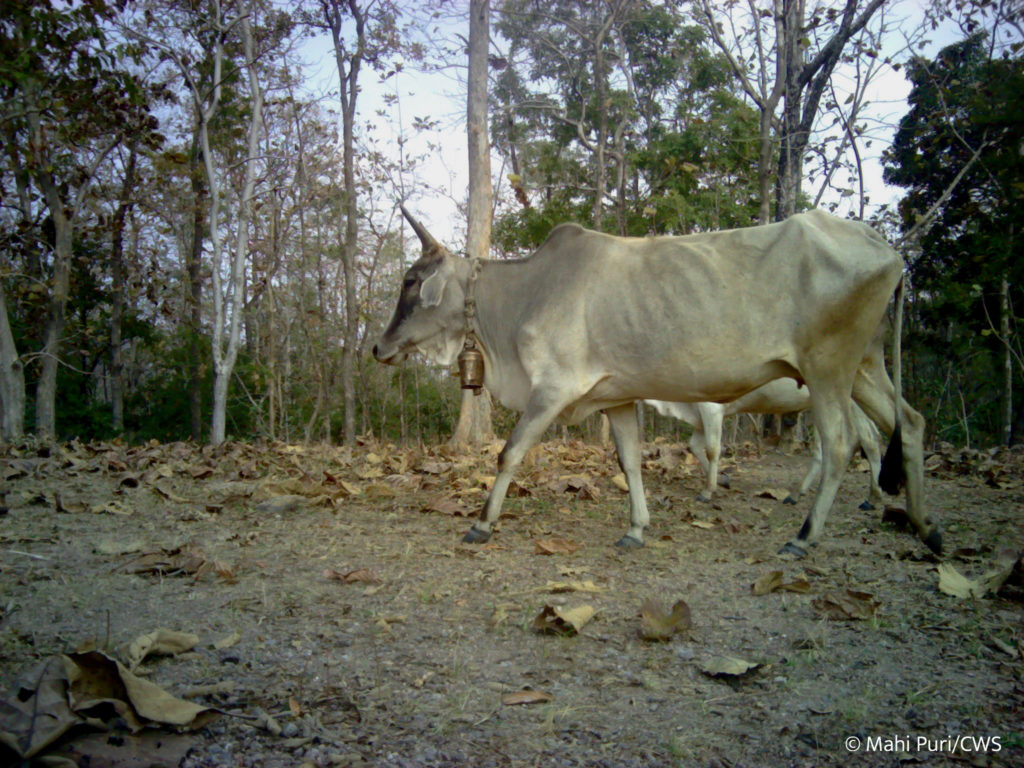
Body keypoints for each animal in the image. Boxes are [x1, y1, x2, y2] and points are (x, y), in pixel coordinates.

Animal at [645, 378, 884, 509]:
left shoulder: (711, 408)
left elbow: (713, 450)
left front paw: (707, 491)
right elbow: (694, 446)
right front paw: (722, 480)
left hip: (852, 402)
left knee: (870, 439)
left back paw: (873, 497)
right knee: (823, 450)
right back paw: (797, 493)